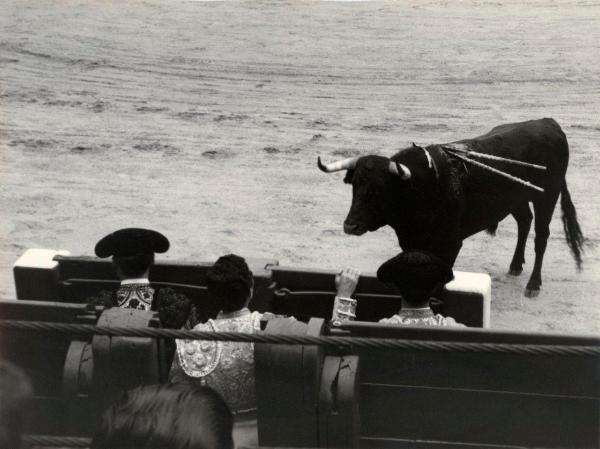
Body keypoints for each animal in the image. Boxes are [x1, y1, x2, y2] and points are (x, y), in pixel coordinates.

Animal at [322, 117, 584, 296]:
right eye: (355, 186)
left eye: (380, 190)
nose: (350, 226)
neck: (423, 187)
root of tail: (549, 123)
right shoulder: (411, 241)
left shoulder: (450, 244)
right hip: (516, 199)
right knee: (524, 222)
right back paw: (515, 266)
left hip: (547, 197)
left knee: (541, 236)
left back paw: (533, 284)